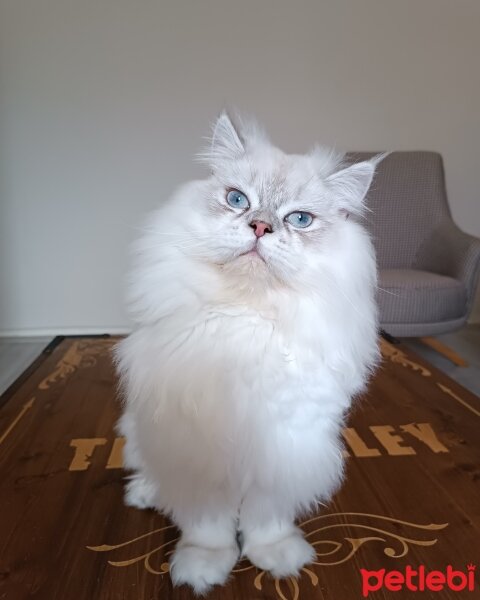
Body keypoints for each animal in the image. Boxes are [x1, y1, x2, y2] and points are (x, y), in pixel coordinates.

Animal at [114, 113, 380, 596]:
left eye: (300, 219)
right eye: (237, 200)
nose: (259, 227)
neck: (248, 316)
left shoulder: (284, 449)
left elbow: (265, 520)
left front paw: (277, 557)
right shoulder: (198, 455)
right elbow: (208, 527)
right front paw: (203, 568)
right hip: (141, 432)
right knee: (149, 471)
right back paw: (146, 493)